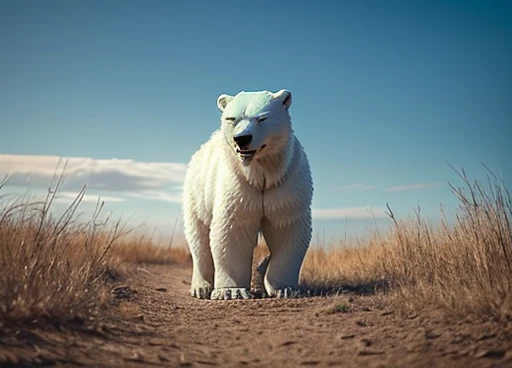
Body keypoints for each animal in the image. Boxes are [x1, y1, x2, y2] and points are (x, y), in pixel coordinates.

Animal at [182, 88, 314, 300]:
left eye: (262, 118)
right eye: (232, 119)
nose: (242, 139)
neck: (260, 173)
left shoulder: (286, 185)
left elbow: (286, 227)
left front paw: (285, 288)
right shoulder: (237, 185)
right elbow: (233, 228)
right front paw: (230, 291)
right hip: (196, 193)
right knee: (198, 237)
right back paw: (200, 288)